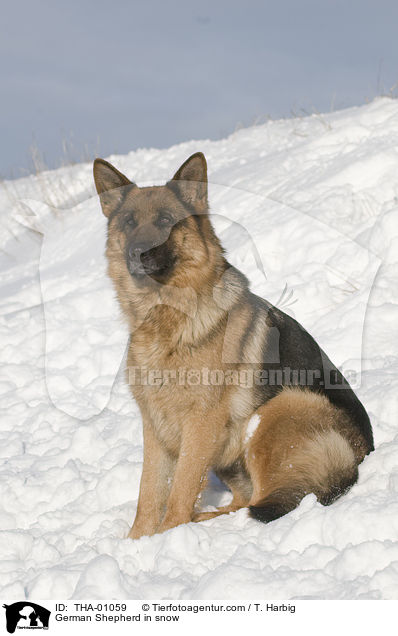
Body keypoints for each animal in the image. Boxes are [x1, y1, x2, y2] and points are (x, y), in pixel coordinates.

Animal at [93, 153, 374, 536]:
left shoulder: (201, 424)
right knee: (245, 499)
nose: (138, 252)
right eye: (129, 222)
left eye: (166, 220)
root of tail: (362, 455)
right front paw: (138, 540)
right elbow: (149, 494)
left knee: (270, 500)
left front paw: (167, 535)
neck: (169, 317)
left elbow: (180, 490)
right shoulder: (155, 425)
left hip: (277, 409)